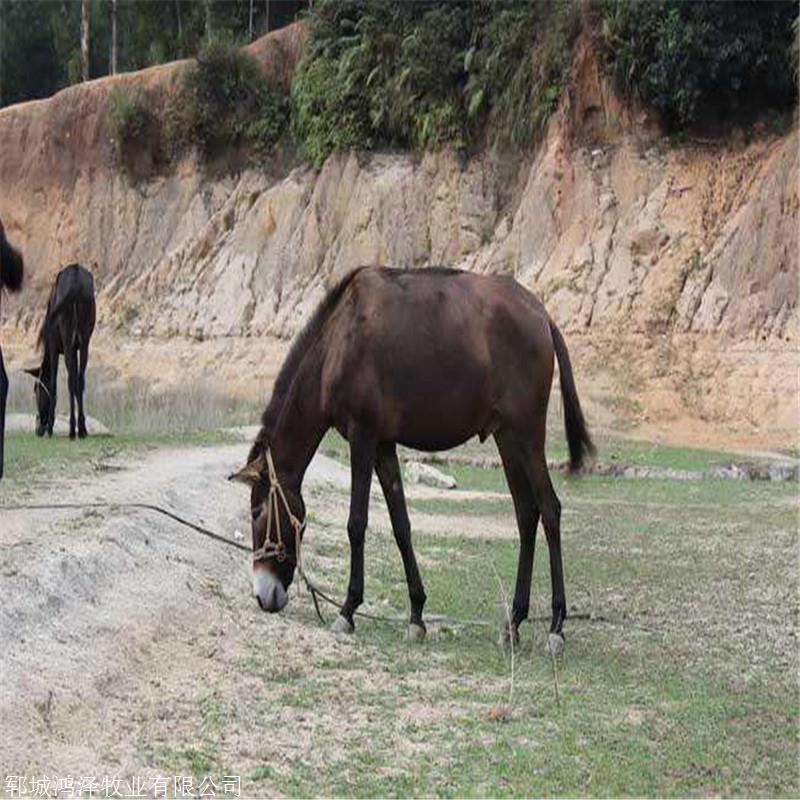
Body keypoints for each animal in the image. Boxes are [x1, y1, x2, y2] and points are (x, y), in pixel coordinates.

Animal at [25, 262, 95, 438]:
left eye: (36, 390)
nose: (38, 429)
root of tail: (76, 275)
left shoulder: (54, 346)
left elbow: (54, 383)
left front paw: (50, 427)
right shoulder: (76, 348)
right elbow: (77, 381)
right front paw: (83, 427)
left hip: (67, 336)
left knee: (70, 382)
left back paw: (71, 430)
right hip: (84, 339)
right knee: (79, 380)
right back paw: (81, 429)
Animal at [231, 266, 592, 648]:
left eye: (256, 511)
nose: (263, 595)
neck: (337, 346)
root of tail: (541, 316)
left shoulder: (362, 438)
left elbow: (356, 523)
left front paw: (348, 609)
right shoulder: (383, 446)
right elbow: (401, 526)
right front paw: (417, 614)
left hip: (527, 435)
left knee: (550, 510)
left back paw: (556, 624)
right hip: (507, 438)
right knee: (526, 514)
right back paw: (515, 621)